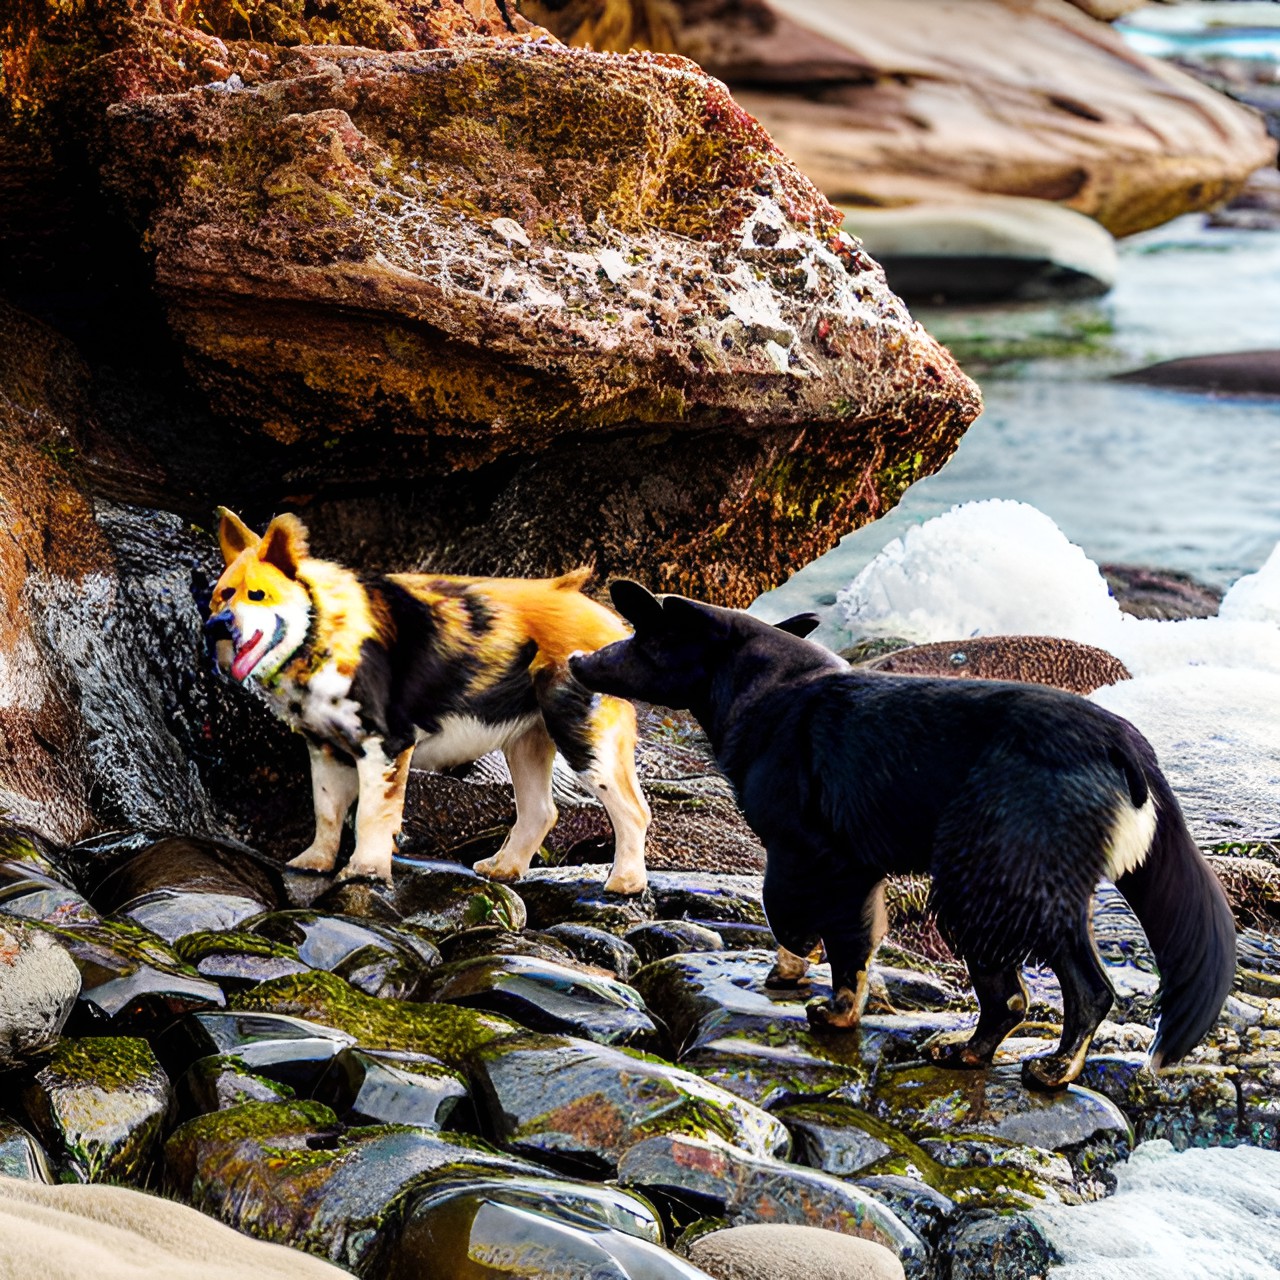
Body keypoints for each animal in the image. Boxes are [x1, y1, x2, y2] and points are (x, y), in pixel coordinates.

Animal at [208, 509, 650, 890]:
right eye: (220, 595)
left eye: (258, 595)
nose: (216, 626)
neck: (324, 634)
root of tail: (603, 615)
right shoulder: (324, 747)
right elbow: (327, 808)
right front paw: (310, 865)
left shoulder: (387, 745)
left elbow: (371, 814)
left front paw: (363, 874)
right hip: (526, 740)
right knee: (541, 810)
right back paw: (499, 870)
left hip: (583, 734)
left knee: (633, 809)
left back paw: (623, 886)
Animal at [568, 581, 1228, 1090]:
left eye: (639, 632)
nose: (576, 658)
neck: (773, 684)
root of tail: (1124, 744)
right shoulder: (856, 869)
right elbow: (856, 941)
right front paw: (824, 990)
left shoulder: (805, 851)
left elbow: (796, 917)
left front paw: (815, 990)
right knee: (1022, 996)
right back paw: (976, 1054)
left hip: (992, 876)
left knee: (1070, 991)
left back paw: (1046, 1068)